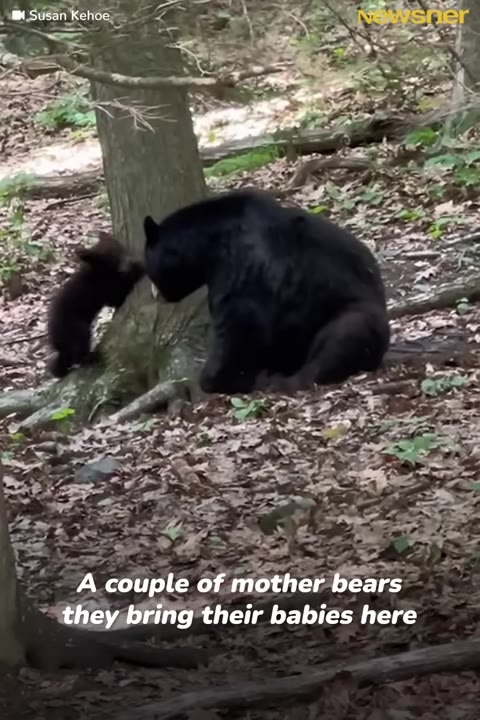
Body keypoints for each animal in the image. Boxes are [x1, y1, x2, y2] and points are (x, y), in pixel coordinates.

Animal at [47, 231, 144, 379]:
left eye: (121, 248)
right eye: (112, 257)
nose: (128, 263)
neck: (97, 270)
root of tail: (55, 340)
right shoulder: (104, 287)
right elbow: (118, 294)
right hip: (74, 326)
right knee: (79, 345)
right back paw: (89, 357)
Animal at [143, 189, 390, 395]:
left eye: (147, 266)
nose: (157, 295)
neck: (209, 245)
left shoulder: (238, 268)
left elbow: (238, 328)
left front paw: (216, 378)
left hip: (353, 312)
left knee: (346, 334)